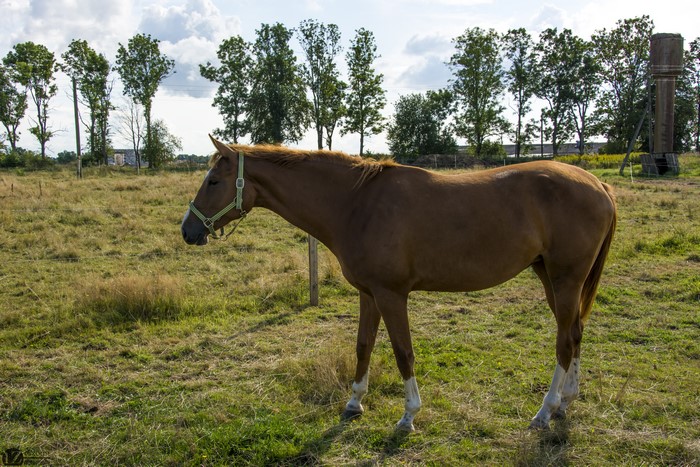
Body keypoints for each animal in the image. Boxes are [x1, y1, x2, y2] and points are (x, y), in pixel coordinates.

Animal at [181, 136, 617, 432]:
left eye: (214, 181)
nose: (187, 231)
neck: (356, 204)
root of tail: (598, 185)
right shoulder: (369, 294)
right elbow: (363, 346)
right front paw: (354, 403)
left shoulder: (392, 296)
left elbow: (402, 352)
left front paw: (409, 416)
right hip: (551, 277)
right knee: (575, 332)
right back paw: (565, 402)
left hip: (565, 278)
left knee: (564, 342)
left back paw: (545, 411)